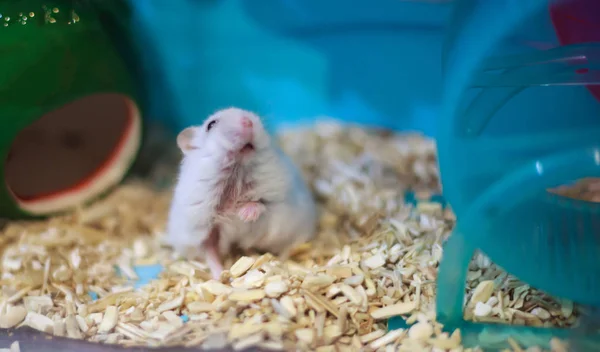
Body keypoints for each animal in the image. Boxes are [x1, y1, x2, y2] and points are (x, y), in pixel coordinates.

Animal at [164, 106, 318, 278]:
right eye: (211, 125)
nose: (248, 121)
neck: (237, 170)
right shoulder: (203, 228)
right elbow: (210, 254)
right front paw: (221, 276)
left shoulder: (277, 204)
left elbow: (261, 204)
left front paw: (244, 214)